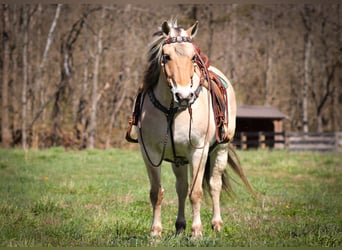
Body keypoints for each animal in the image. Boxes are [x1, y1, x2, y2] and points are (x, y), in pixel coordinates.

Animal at [125, 19, 254, 238]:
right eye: (166, 56)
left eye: (193, 57)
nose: (184, 96)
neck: (171, 110)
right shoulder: (150, 153)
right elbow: (157, 193)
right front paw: (155, 232)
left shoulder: (198, 152)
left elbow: (196, 192)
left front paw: (197, 232)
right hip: (179, 160)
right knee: (181, 188)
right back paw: (179, 226)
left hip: (220, 150)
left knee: (214, 185)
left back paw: (216, 223)